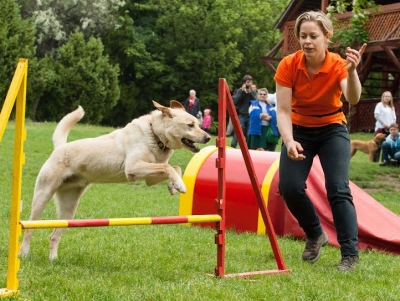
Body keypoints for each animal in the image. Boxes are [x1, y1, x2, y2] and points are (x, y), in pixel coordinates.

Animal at [19, 100, 211, 258]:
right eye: (190, 125)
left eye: (198, 124)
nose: (208, 137)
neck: (155, 135)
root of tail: (60, 147)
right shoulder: (133, 168)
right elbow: (168, 167)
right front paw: (180, 185)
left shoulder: (149, 178)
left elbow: (174, 168)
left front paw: (174, 186)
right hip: (42, 196)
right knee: (29, 228)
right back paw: (24, 254)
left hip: (69, 209)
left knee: (54, 235)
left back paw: (53, 260)